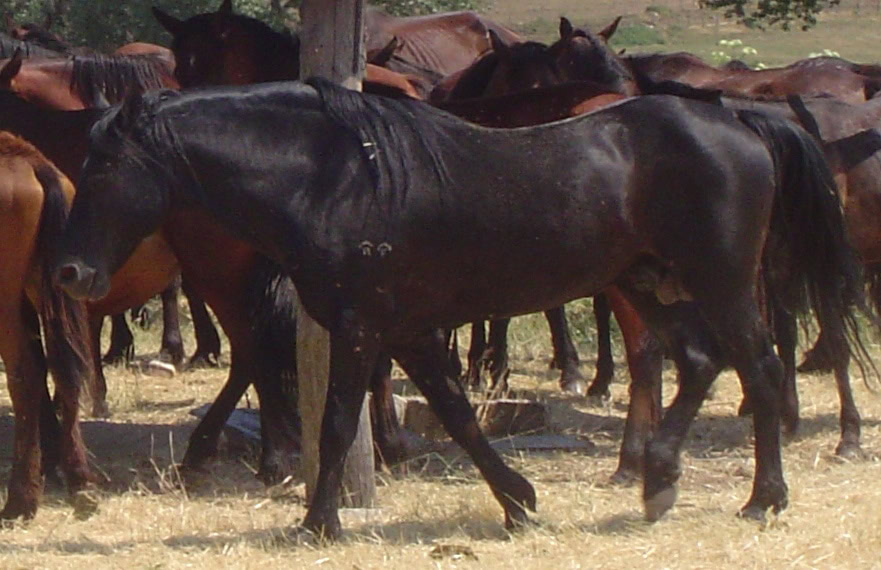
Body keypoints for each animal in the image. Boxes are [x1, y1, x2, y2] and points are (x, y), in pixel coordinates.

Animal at [53, 79, 867, 538]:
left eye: (105, 165)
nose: (69, 271)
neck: (336, 179)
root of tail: (740, 122)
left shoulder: (361, 328)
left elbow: (339, 422)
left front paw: (318, 523)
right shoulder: (407, 331)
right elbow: (458, 414)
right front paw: (519, 502)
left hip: (719, 282)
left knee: (759, 370)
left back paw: (762, 499)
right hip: (645, 282)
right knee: (697, 363)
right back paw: (658, 482)